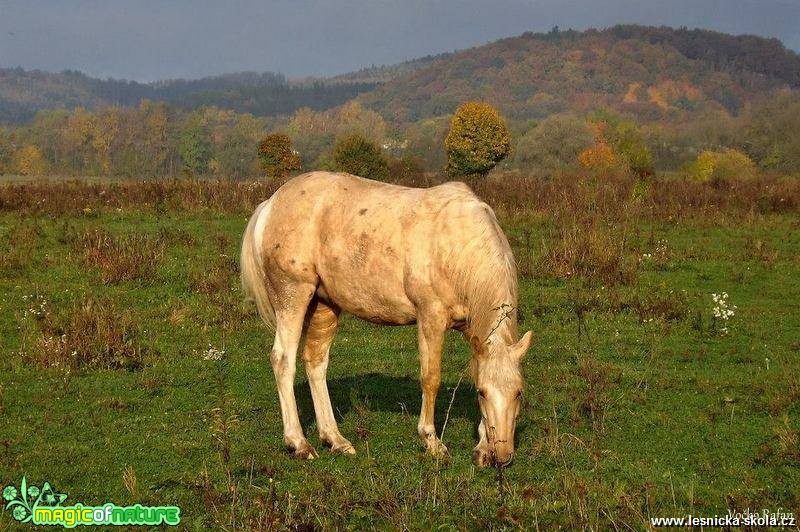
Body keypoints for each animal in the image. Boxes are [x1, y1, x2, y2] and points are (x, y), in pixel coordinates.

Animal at [241, 170, 536, 466]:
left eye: (519, 392)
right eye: (483, 393)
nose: (502, 455)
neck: (456, 245)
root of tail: (271, 203)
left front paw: (482, 446)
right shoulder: (430, 318)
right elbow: (431, 379)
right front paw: (432, 442)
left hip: (324, 305)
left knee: (316, 363)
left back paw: (335, 440)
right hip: (293, 297)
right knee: (283, 361)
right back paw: (298, 443)